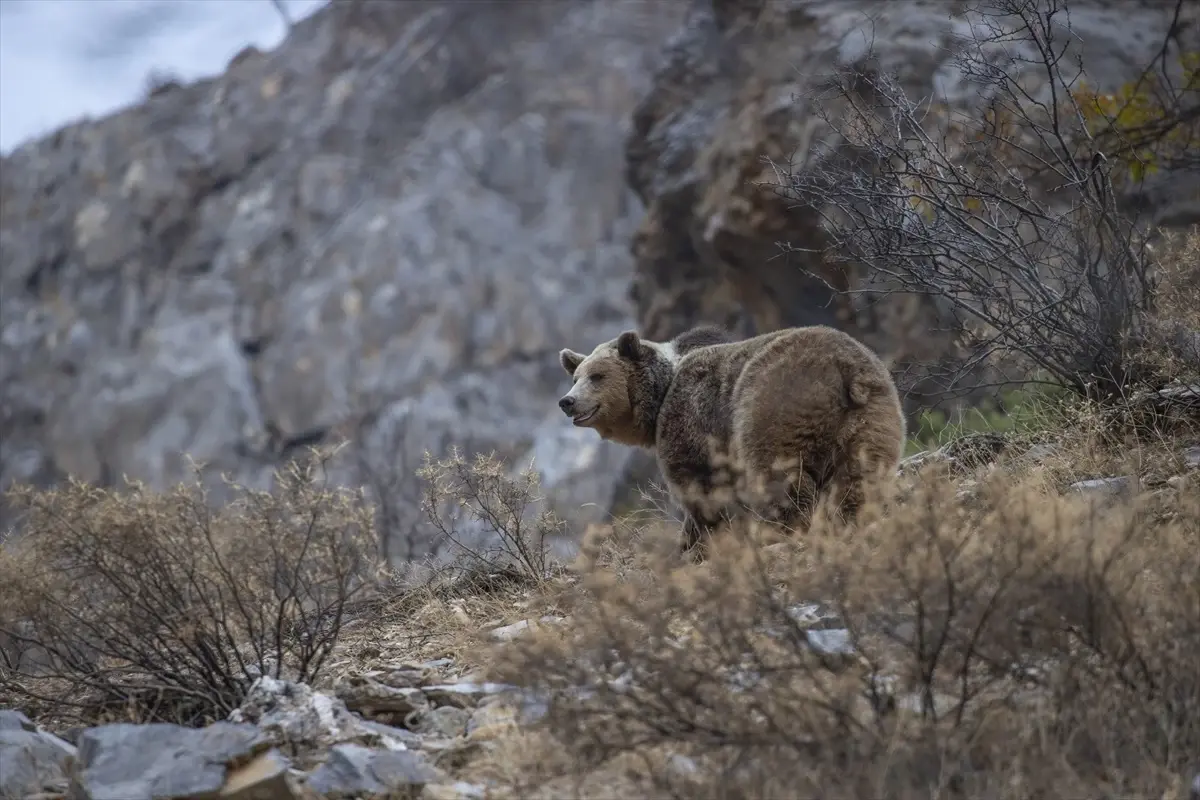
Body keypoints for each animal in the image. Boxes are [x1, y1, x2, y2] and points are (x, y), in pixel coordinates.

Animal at [556, 326, 902, 556]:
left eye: (598, 376)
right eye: (576, 377)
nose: (567, 401)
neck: (660, 395)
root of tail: (844, 369)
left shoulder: (691, 422)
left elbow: (701, 491)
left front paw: (697, 545)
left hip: (774, 406)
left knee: (781, 477)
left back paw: (784, 531)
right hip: (871, 418)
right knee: (859, 477)